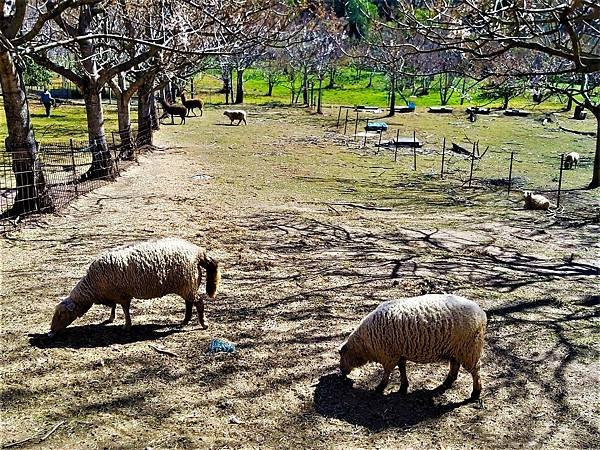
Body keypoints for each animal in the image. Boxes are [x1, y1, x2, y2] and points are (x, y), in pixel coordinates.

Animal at [47, 237, 220, 336]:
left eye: (61, 314)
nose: (52, 330)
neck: (92, 287)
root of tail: (198, 252)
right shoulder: (114, 294)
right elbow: (114, 307)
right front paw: (111, 318)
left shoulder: (122, 295)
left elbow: (125, 310)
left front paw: (127, 326)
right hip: (187, 285)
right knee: (189, 303)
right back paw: (184, 321)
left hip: (188, 283)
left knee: (199, 303)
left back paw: (203, 324)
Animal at [338, 296, 488, 400]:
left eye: (341, 355)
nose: (342, 373)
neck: (364, 344)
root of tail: (482, 313)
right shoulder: (398, 353)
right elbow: (402, 369)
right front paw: (403, 387)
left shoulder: (389, 355)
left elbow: (387, 372)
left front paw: (380, 387)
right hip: (456, 349)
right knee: (455, 366)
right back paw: (447, 383)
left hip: (470, 349)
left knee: (475, 372)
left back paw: (475, 393)